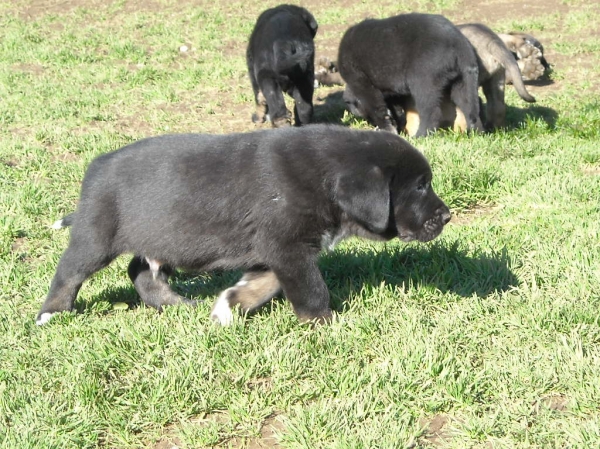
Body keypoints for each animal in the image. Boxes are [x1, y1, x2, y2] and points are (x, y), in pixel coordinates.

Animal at [36, 125, 450, 326]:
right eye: (419, 186)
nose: (446, 216)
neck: (324, 177)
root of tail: (97, 165)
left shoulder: (274, 252)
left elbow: (263, 284)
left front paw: (227, 307)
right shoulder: (288, 247)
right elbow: (311, 288)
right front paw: (325, 322)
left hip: (159, 238)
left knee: (140, 271)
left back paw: (174, 303)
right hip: (97, 233)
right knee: (69, 271)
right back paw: (52, 313)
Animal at [338, 14, 482, 136]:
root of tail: (458, 42)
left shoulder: (363, 83)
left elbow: (377, 109)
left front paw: (388, 130)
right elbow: (394, 110)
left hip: (423, 82)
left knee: (431, 112)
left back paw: (421, 135)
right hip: (463, 80)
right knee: (470, 109)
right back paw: (477, 133)